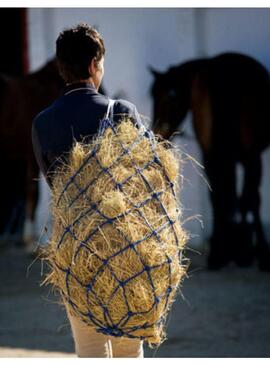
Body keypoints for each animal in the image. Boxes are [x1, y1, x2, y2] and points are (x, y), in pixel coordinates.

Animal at [151, 52, 270, 270]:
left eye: (168, 98)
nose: (158, 135)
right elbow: (244, 198)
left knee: (223, 196)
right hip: (247, 157)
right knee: (243, 199)